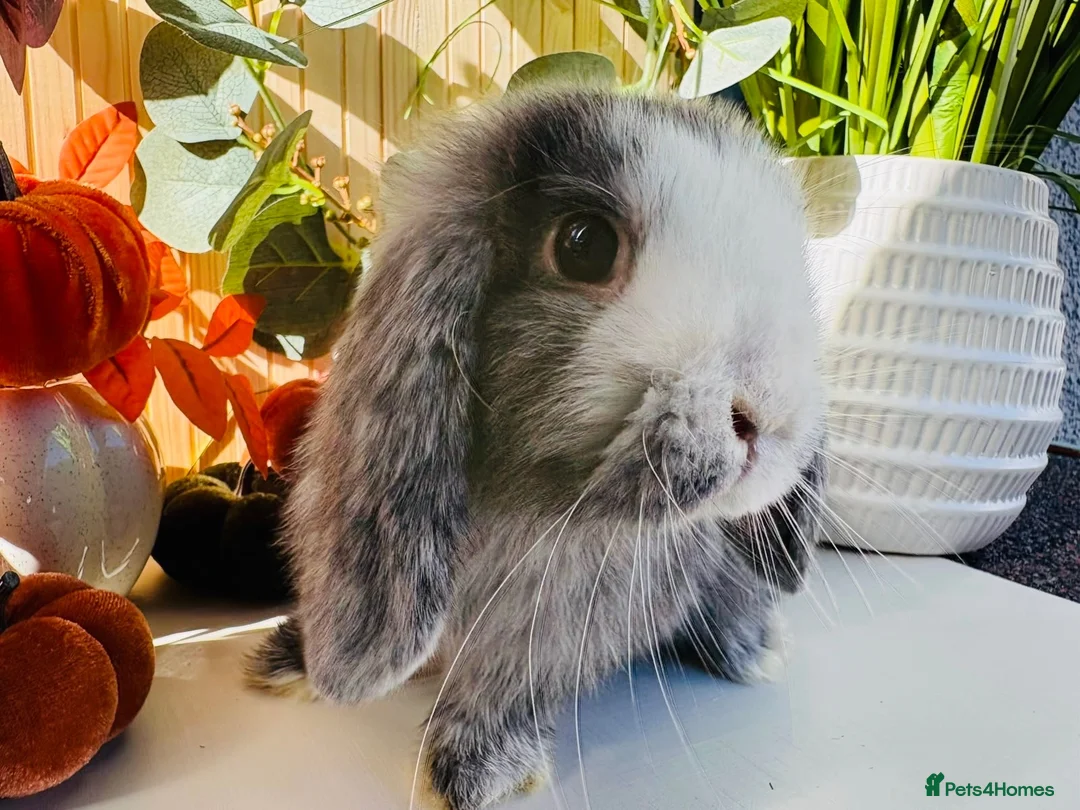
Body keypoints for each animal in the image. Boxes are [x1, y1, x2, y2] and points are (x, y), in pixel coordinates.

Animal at [246, 85, 828, 810]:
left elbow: (507, 681)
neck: (532, 506)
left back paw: (754, 650)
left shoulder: (547, 625)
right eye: (584, 246)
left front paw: (475, 774)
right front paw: (290, 662)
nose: (769, 412)